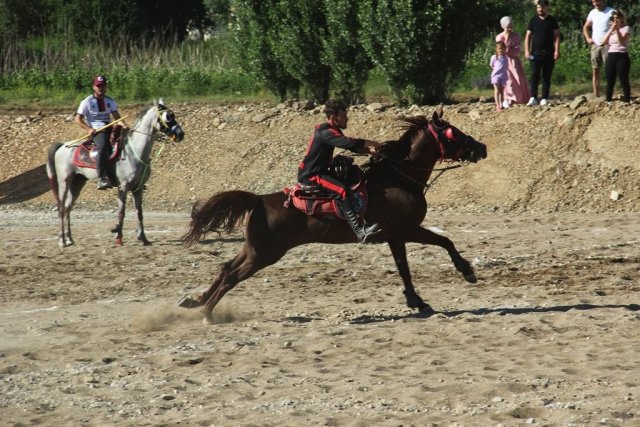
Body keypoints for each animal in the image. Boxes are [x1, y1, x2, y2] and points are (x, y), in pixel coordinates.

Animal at [45, 98, 184, 247]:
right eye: (168, 116)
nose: (181, 134)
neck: (133, 151)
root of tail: (63, 146)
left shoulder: (138, 188)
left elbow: (139, 212)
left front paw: (143, 238)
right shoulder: (123, 187)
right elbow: (121, 212)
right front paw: (118, 237)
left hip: (77, 182)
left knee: (67, 208)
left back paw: (70, 239)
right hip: (64, 182)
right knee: (61, 208)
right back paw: (62, 241)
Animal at [178, 110, 488, 324]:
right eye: (453, 133)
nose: (482, 147)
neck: (397, 178)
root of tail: (260, 199)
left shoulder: (395, 237)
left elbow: (405, 267)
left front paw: (416, 300)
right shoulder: (408, 230)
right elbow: (443, 243)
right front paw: (467, 272)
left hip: (254, 249)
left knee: (226, 268)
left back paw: (196, 301)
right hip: (264, 254)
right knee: (231, 276)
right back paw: (207, 313)